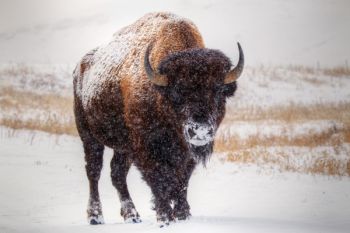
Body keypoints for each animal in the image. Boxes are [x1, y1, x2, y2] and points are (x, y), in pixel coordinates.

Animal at [73, 12, 245, 226]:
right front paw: (164, 217)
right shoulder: (146, 148)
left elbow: (181, 181)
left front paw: (182, 214)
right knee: (94, 171)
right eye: (178, 92)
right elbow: (159, 179)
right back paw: (95, 217)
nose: (200, 130)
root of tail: (80, 69)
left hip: (123, 148)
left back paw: (132, 216)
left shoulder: (185, 152)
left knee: (117, 174)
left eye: (219, 91)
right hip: (89, 136)